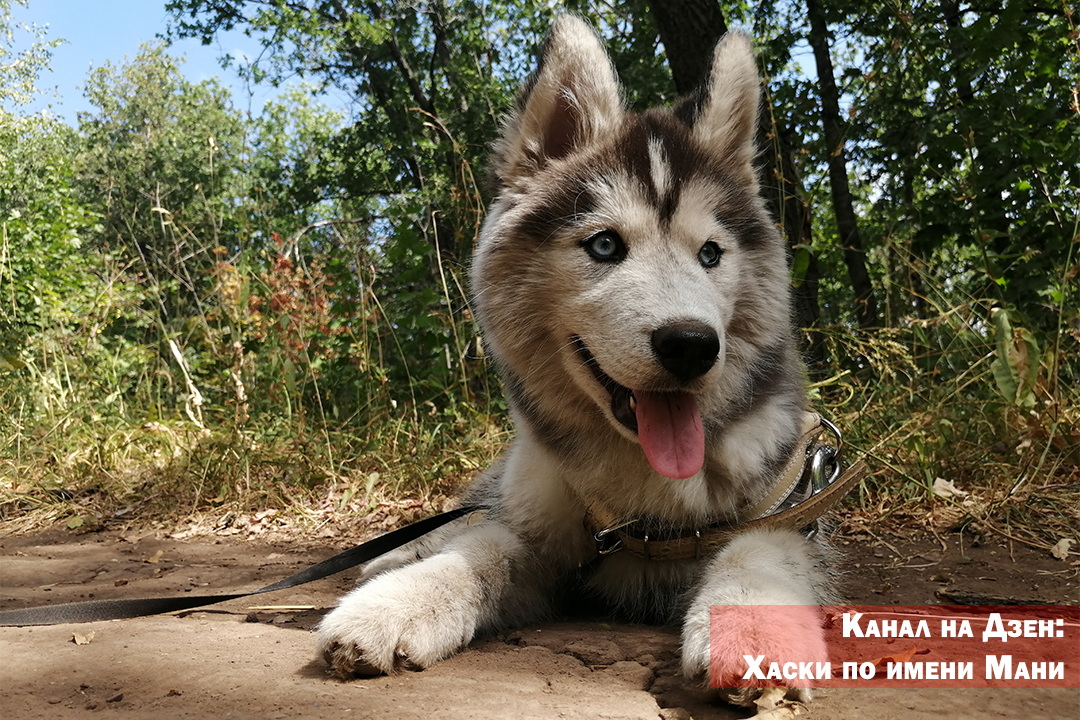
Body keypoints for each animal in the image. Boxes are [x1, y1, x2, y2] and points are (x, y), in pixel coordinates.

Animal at [315, 14, 829, 695]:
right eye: (605, 245)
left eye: (711, 254)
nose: (691, 345)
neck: (641, 487)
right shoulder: (541, 529)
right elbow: (481, 548)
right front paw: (395, 602)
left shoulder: (789, 509)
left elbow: (762, 552)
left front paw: (755, 633)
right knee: (471, 514)